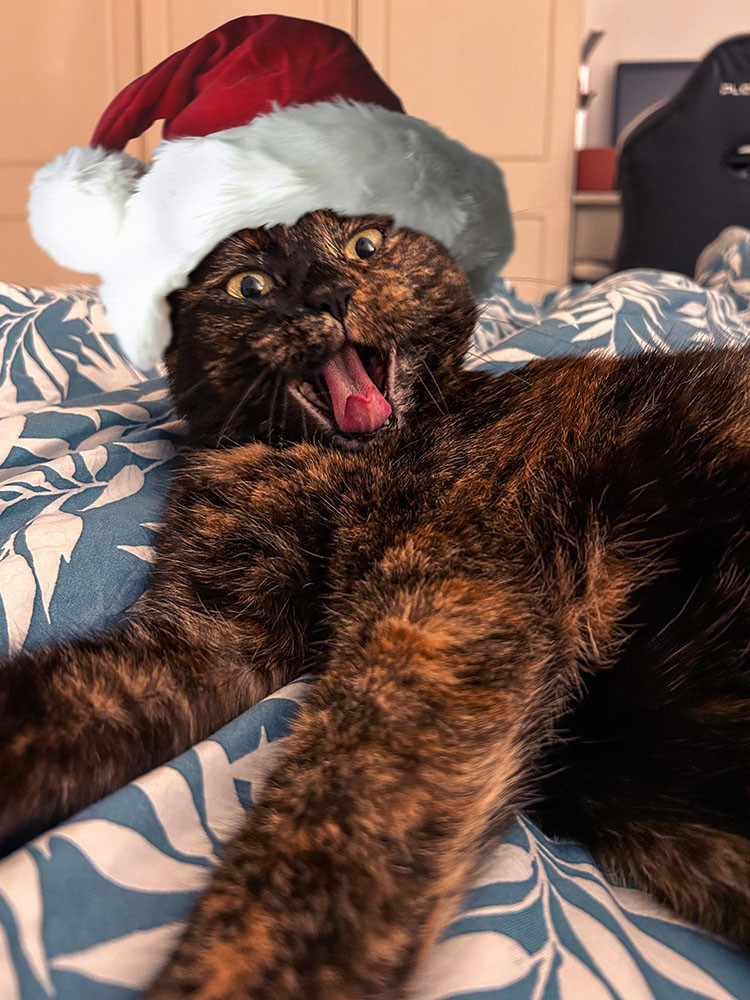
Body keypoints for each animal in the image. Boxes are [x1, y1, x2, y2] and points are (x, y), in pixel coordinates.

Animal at [1, 209, 750, 992]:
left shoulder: (446, 604)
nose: (328, 293)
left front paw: (238, 974)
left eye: (364, 245)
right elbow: (62, 699)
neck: (331, 460)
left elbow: (328, 831)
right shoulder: (211, 636)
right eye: (250, 285)